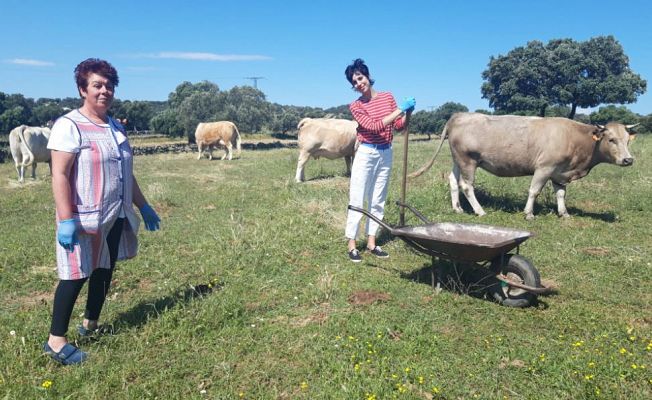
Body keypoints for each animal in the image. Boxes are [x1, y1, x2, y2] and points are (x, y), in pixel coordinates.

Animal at [410, 112, 636, 219]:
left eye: (627, 140)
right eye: (611, 140)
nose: (628, 160)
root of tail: (459, 115)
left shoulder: (559, 172)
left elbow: (561, 194)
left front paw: (563, 213)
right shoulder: (544, 167)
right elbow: (534, 191)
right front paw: (528, 213)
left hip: (458, 160)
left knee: (453, 181)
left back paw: (457, 208)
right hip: (468, 161)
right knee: (466, 185)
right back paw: (480, 211)